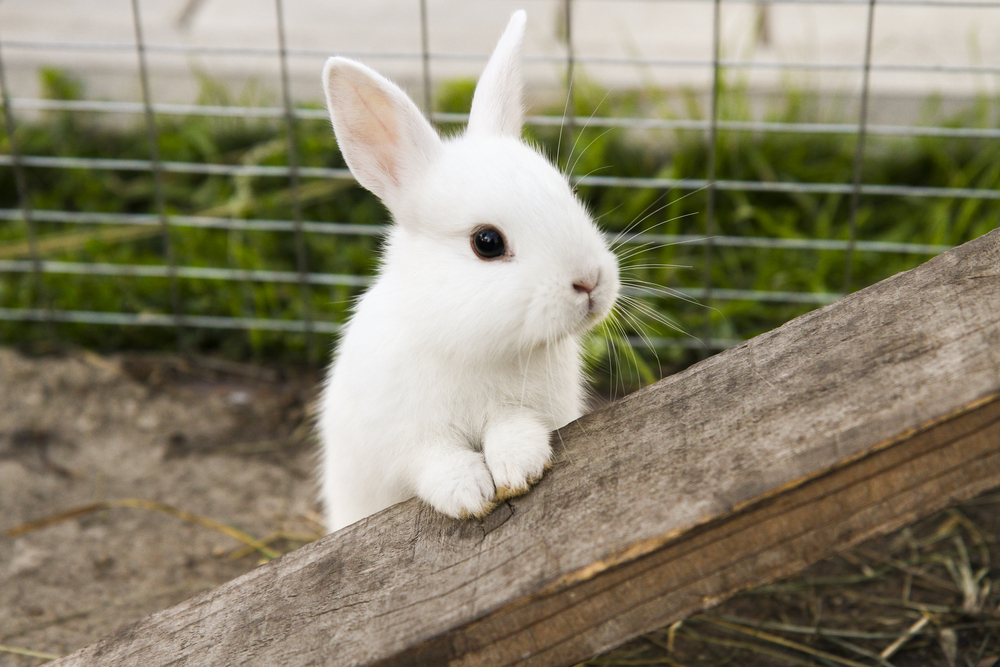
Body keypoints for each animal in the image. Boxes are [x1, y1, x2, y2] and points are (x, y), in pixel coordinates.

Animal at [317, 9, 620, 533]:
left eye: (567, 193)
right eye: (487, 242)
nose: (590, 282)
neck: (474, 346)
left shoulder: (529, 409)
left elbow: (514, 429)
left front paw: (519, 468)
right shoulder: (406, 441)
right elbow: (435, 461)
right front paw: (469, 493)